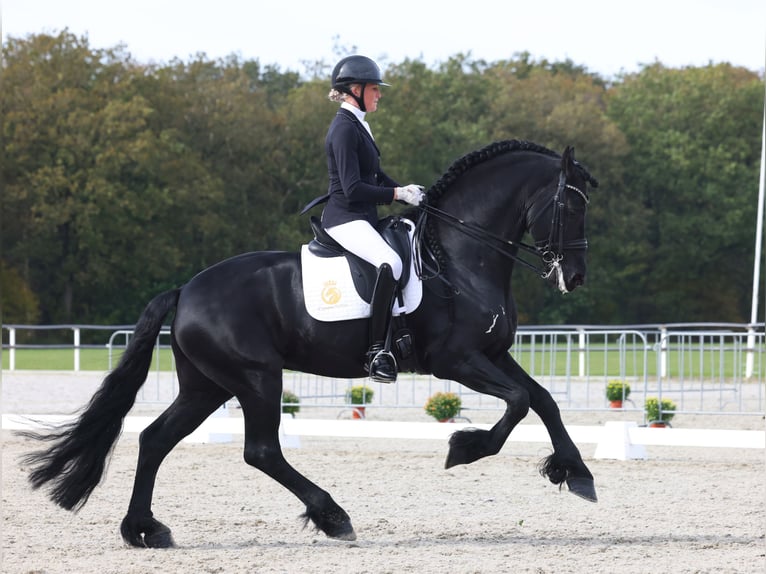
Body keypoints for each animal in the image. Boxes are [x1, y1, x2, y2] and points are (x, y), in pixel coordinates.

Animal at [21, 140, 604, 548]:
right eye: (571, 208)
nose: (576, 276)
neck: (458, 257)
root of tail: (186, 289)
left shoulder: (494, 353)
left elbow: (543, 400)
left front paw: (576, 473)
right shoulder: (455, 361)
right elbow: (519, 402)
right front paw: (464, 448)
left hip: (207, 385)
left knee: (155, 439)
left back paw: (145, 530)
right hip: (256, 377)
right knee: (260, 450)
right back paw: (333, 516)